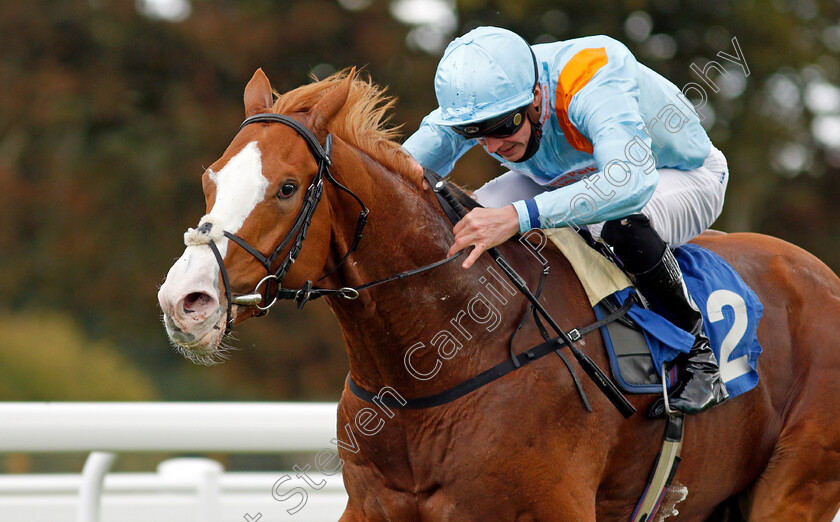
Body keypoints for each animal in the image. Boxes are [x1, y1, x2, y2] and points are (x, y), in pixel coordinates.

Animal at [159, 68, 840, 516]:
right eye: (211, 178)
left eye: (287, 187)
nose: (185, 301)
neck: (438, 364)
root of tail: (821, 275)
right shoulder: (375, 505)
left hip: (795, 487)